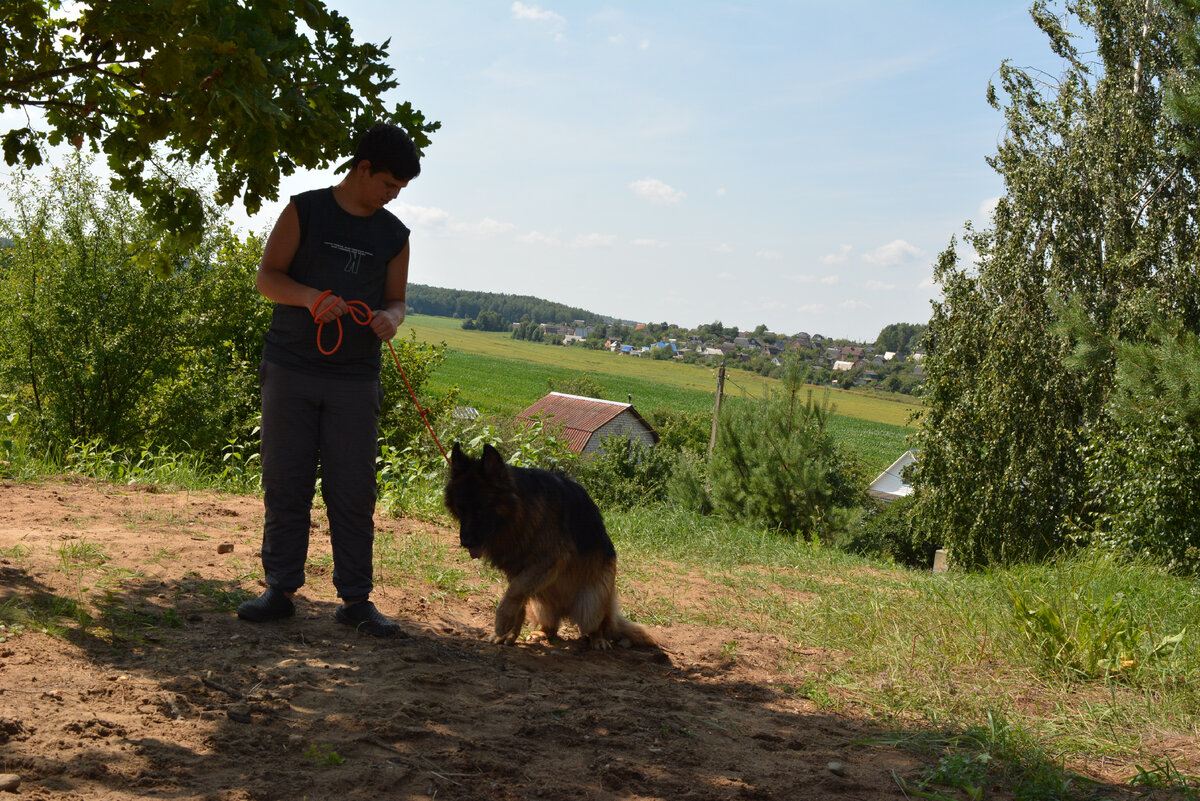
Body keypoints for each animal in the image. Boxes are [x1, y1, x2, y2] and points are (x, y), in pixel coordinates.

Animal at [446, 443, 657, 652]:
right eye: (460, 508)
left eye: (481, 508)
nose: (465, 542)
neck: (520, 513)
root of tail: (565, 610)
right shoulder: (518, 572)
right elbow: (516, 600)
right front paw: (508, 634)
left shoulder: (546, 563)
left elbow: (514, 594)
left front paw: (502, 623)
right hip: (540, 604)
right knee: (551, 627)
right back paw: (541, 633)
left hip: (591, 604)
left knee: (595, 627)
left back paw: (598, 640)